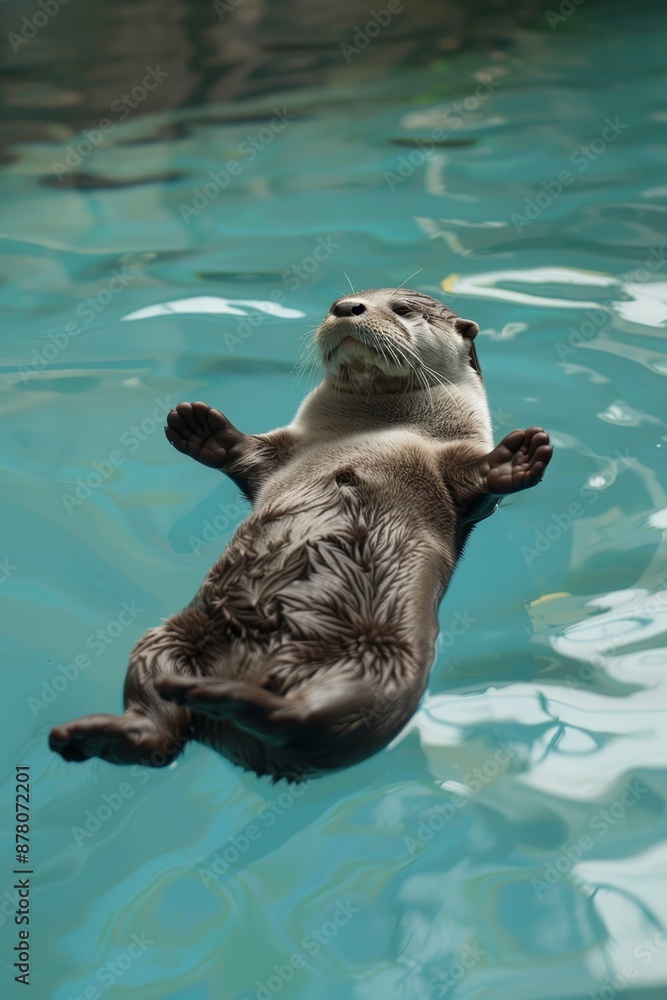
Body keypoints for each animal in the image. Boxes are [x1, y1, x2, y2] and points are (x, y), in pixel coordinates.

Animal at [49, 289, 552, 781]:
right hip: (168, 638)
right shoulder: (287, 450)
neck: (376, 428)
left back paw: (230, 700)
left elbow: (477, 484)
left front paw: (518, 458)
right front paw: (201, 430)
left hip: (380, 666)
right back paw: (103, 732)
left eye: (403, 308)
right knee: (158, 731)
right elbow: (247, 456)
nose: (347, 307)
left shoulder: (453, 465)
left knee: (309, 719)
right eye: (341, 300)